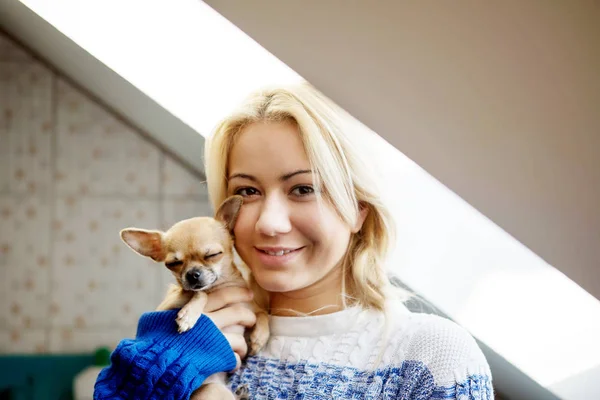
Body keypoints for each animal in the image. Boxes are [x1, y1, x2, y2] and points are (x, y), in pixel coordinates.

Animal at [119, 195, 270, 398]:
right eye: (173, 263)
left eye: (213, 254)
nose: (192, 274)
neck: (219, 286)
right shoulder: (168, 303)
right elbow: (200, 294)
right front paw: (189, 315)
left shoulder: (249, 309)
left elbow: (262, 314)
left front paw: (259, 338)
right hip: (213, 389)